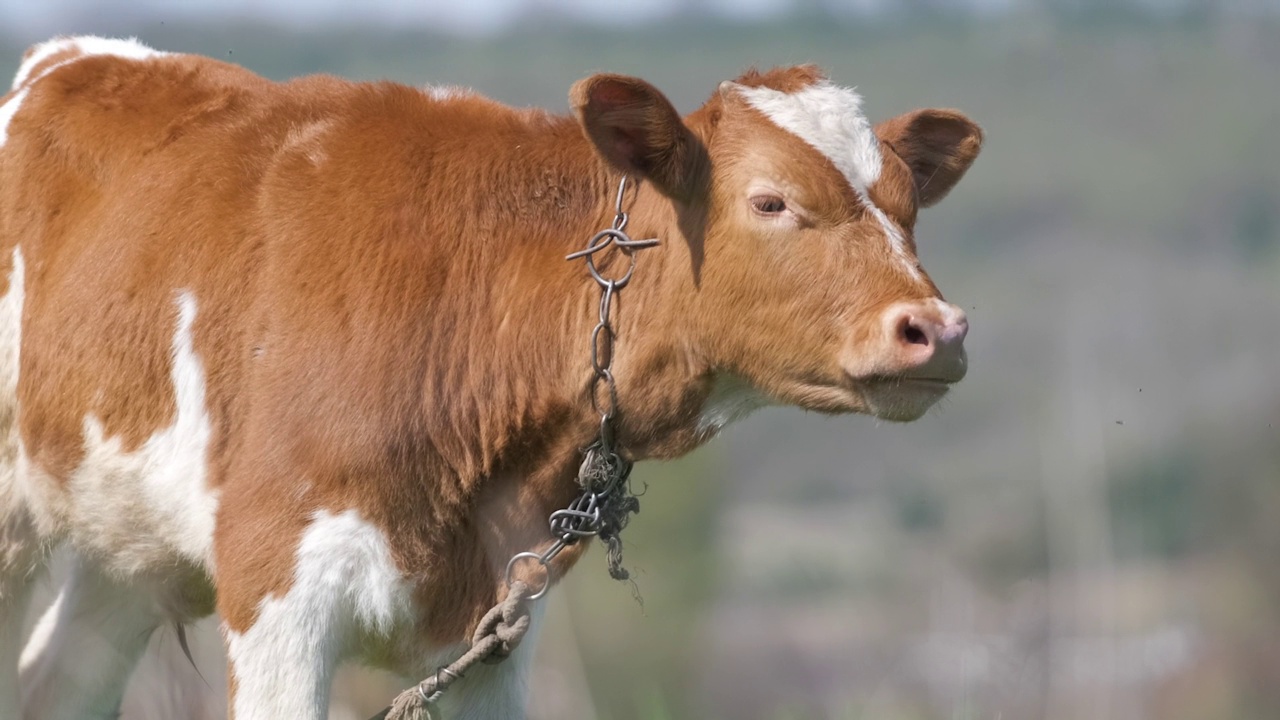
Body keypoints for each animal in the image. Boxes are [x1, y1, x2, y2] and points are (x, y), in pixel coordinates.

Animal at [0, 37, 977, 717]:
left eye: (908, 207)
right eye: (771, 200)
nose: (936, 330)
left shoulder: (500, 630)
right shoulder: (276, 586)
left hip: (131, 548)